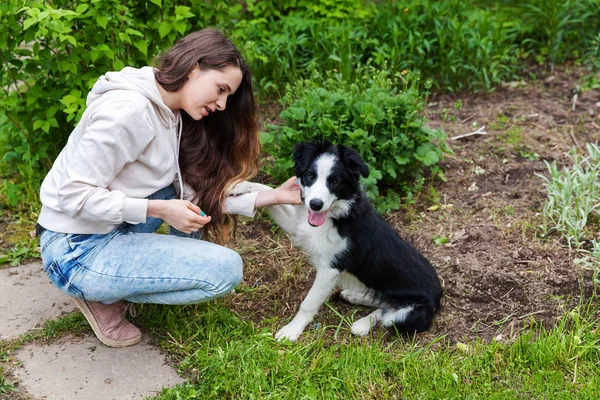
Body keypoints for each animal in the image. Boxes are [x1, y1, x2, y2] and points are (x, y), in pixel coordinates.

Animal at [232, 141, 442, 340]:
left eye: (335, 181)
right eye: (310, 176)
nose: (315, 205)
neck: (336, 215)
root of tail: (439, 295)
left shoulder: (330, 268)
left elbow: (308, 303)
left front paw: (292, 330)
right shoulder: (297, 226)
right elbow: (270, 190)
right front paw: (239, 186)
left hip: (411, 313)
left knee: (386, 313)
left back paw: (362, 324)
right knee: (380, 302)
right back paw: (353, 296)